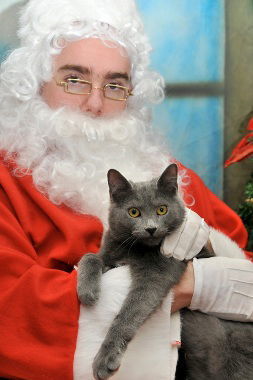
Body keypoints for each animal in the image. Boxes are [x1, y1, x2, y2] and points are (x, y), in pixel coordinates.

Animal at [77, 164, 253, 380]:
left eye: (162, 209)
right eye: (133, 212)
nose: (151, 228)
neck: (135, 249)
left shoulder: (157, 273)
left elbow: (129, 312)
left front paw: (105, 359)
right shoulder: (110, 251)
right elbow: (90, 256)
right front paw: (87, 292)